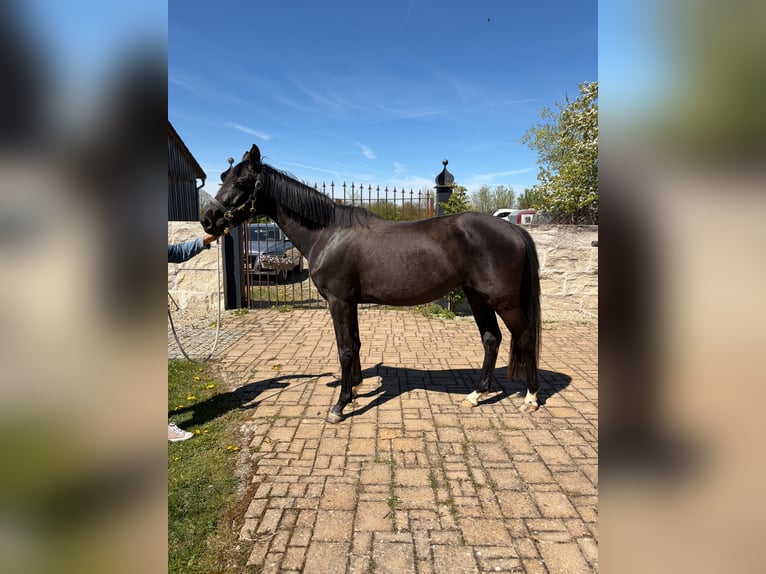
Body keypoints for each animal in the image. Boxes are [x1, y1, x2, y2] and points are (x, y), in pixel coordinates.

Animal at [201, 144, 542, 424]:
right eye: (223, 176)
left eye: (242, 183)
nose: (208, 219)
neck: (329, 233)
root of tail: (513, 230)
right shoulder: (349, 302)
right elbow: (355, 344)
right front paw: (353, 390)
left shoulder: (339, 301)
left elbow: (344, 349)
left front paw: (339, 406)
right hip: (477, 297)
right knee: (491, 339)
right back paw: (476, 395)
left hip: (503, 301)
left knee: (525, 337)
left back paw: (531, 398)